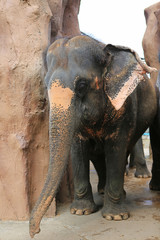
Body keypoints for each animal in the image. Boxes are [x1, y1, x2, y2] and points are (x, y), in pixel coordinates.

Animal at [28, 34, 158, 237]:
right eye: (46, 84)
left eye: (81, 85)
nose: (35, 232)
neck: (102, 49)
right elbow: (78, 148)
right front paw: (80, 211)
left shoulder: (125, 106)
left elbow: (116, 148)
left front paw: (115, 217)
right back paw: (104, 191)